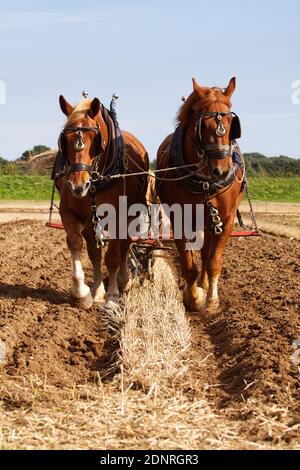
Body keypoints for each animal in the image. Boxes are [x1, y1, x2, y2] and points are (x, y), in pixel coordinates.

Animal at [53, 95, 149, 308]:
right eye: (65, 140)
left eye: (94, 139)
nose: (78, 185)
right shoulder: (68, 212)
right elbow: (75, 243)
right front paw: (82, 294)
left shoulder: (118, 217)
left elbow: (113, 256)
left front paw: (112, 296)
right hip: (91, 221)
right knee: (94, 253)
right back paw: (97, 291)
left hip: (131, 215)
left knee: (125, 246)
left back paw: (123, 281)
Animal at [156, 77, 245, 314]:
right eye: (203, 125)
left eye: (231, 124)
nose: (221, 171)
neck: (205, 180)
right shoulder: (180, 219)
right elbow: (188, 264)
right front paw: (193, 298)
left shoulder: (225, 220)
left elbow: (213, 261)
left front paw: (211, 300)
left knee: (206, 254)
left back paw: (204, 285)